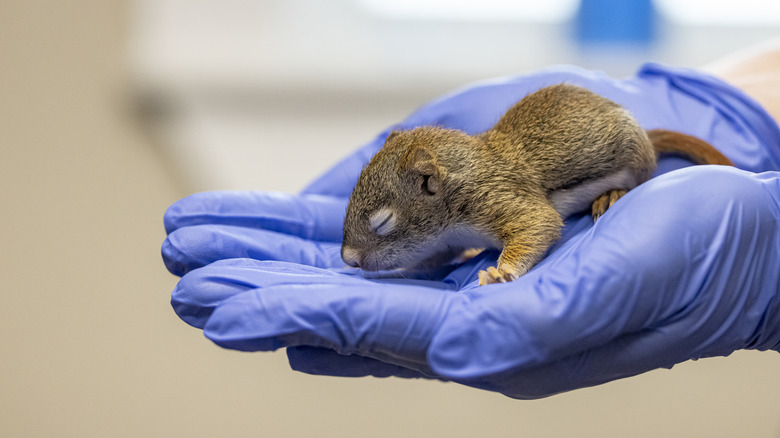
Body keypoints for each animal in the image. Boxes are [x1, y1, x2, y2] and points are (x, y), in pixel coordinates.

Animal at [341, 84, 733, 286]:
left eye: (382, 222)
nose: (348, 259)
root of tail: (649, 141)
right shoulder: (445, 241)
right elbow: (435, 258)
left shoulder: (498, 198)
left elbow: (538, 224)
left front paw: (501, 272)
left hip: (634, 158)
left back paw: (612, 195)